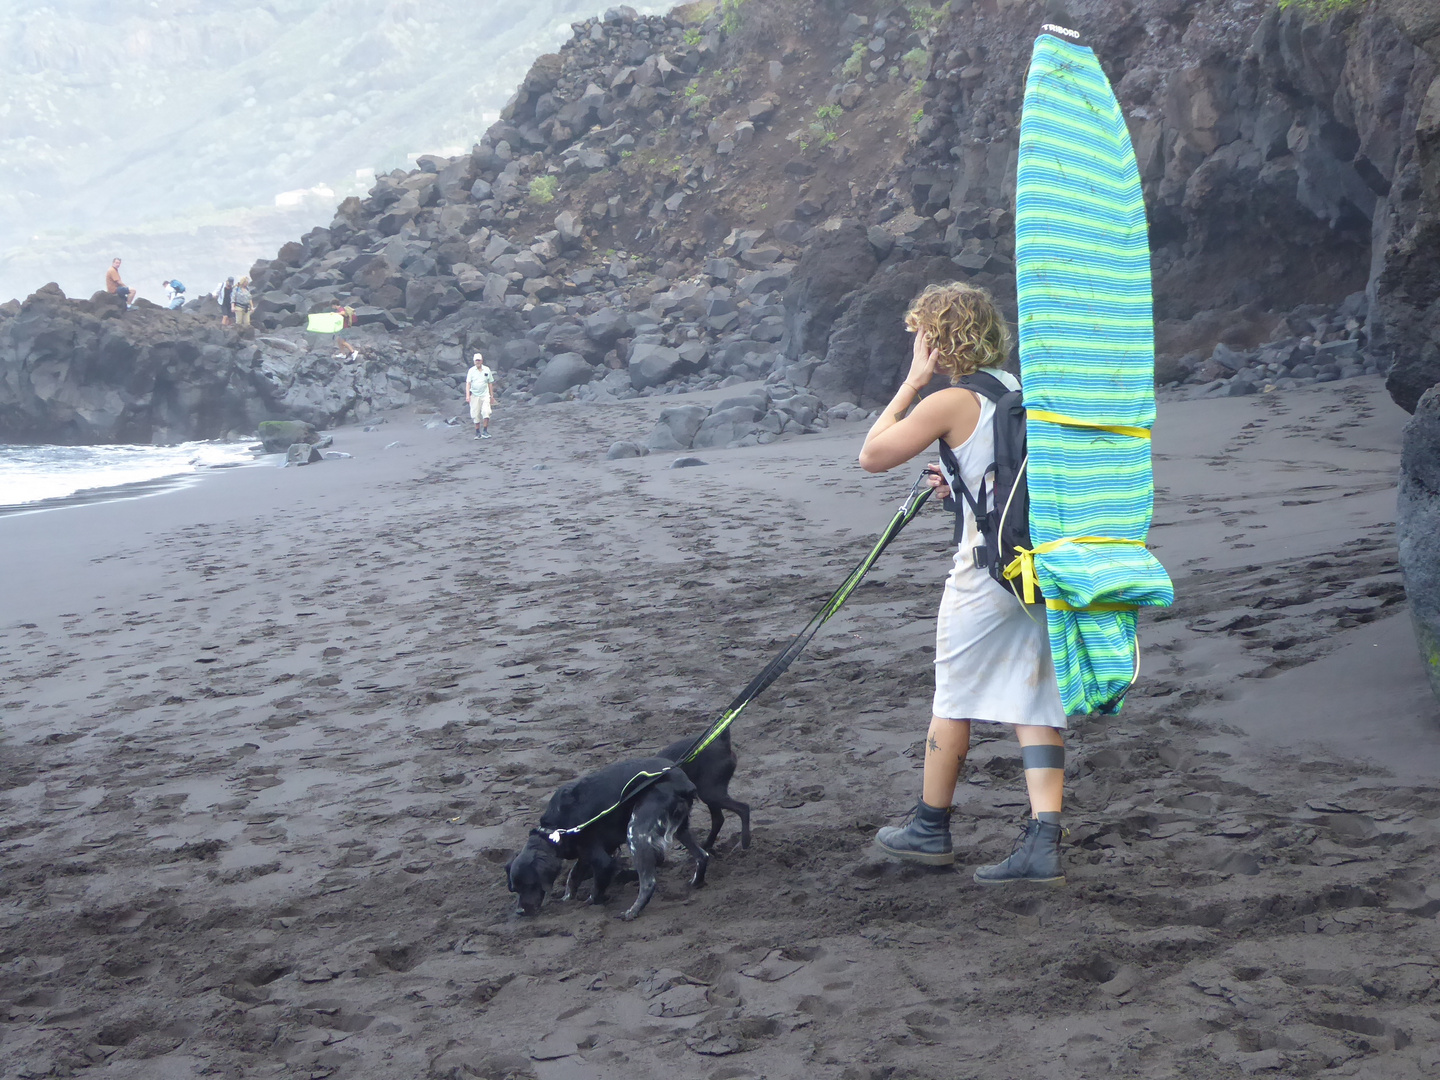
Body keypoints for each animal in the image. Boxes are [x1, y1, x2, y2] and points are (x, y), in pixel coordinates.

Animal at [506, 760, 708, 921]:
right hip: (680, 829)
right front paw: (567, 899)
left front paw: (590, 902)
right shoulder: (587, 852)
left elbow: (595, 886)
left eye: (530, 884)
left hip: (636, 831)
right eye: (514, 889)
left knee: (649, 882)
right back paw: (695, 882)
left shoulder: (601, 858)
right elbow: (573, 876)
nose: (519, 912)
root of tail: (684, 782)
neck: (556, 829)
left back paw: (632, 912)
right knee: (703, 855)